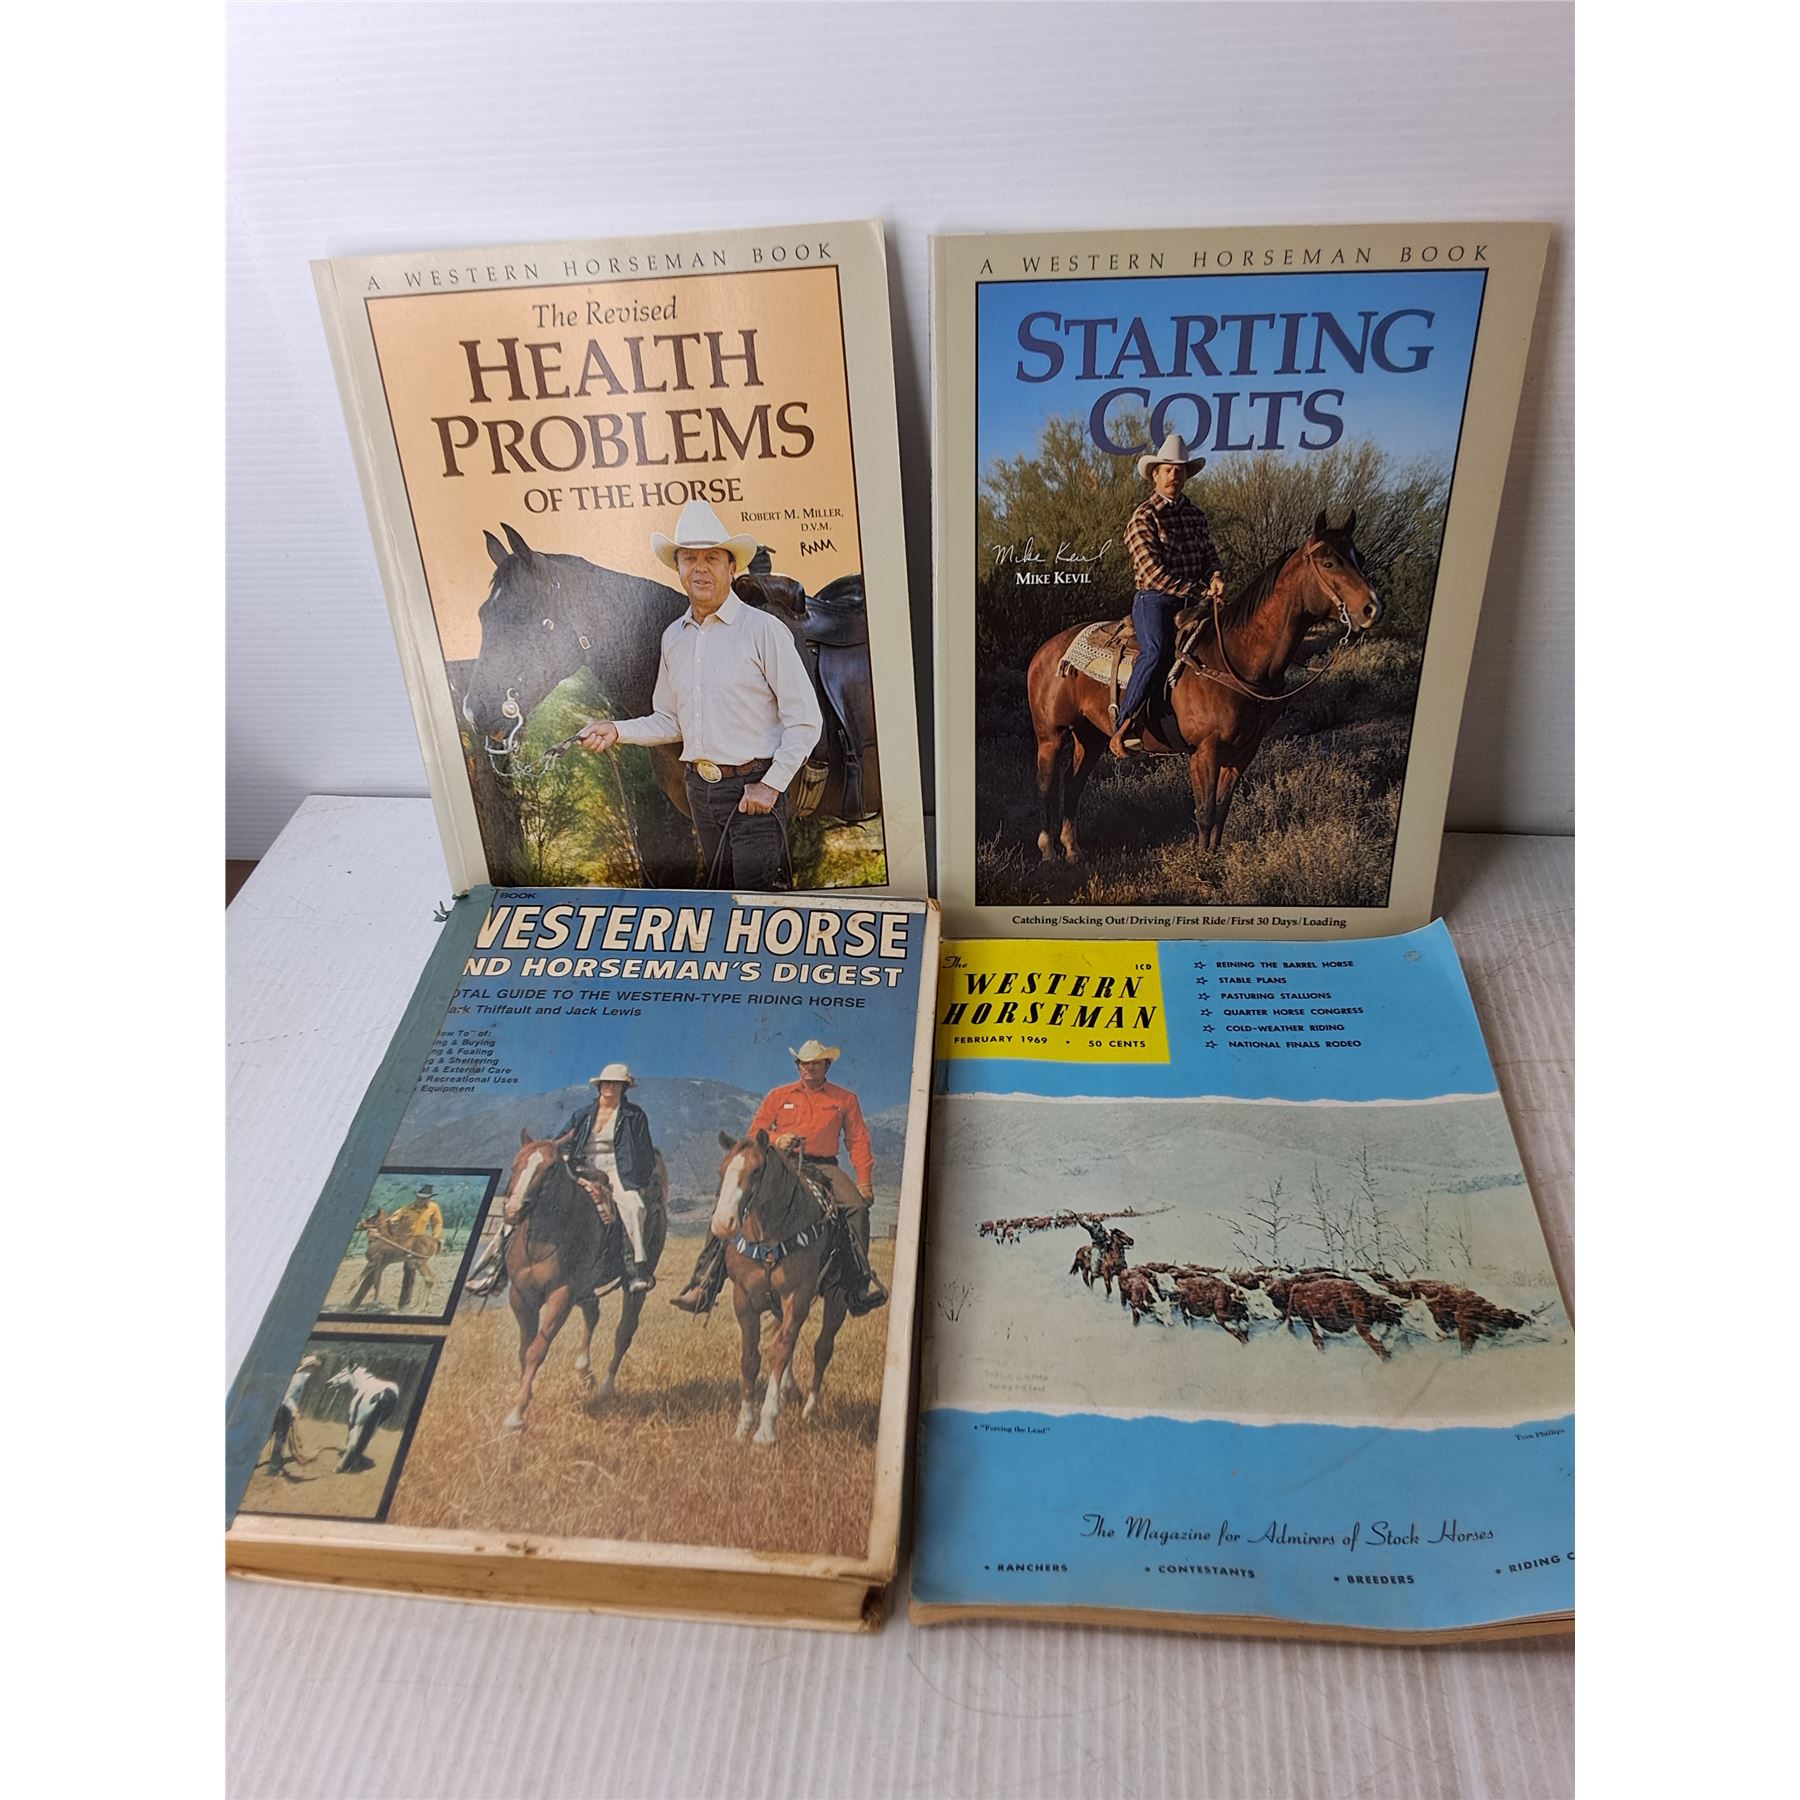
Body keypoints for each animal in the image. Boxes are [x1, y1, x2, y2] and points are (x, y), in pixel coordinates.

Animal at [497, 1128, 668, 1431]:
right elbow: (524, 1351)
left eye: (551, 1168)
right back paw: (584, 1372)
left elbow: (537, 1350)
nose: (514, 1210)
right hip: (586, 1286)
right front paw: (522, 1400)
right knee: (592, 1312)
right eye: (516, 1165)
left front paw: (516, 1416)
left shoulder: (561, 1296)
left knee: (624, 1332)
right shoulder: (521, 1297)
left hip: (636, 1284)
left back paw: (605, 1388)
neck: (542, 1241)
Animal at [711, 1129, 850, 1447]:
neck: (770, 1236)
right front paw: (743, 1426)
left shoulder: (796, 1298)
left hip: (836, 1299)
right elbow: (751, 1358)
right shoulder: (744, 1299)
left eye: (756, 1170)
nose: (723, 1223)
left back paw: (810, 1409)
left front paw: (765, 1429)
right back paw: (791, 1391)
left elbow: (779, 1352)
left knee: (822, 1348)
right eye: (721, 1170)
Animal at [1025, 513, 1384, 862]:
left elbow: (1221, 810)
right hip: (1051, 735)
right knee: (1045, 786)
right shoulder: (1205, 751)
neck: (1235, 658)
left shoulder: (1243, 752)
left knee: (1073, 785)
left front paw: (1213, 859)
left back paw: (1072, 850)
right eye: (1329, 562)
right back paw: (1049, 851)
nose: (1372, 608)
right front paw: (1202, 867)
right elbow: (1205, 811)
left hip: (1091, 736)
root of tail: (1045, 650)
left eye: (1360, 558)